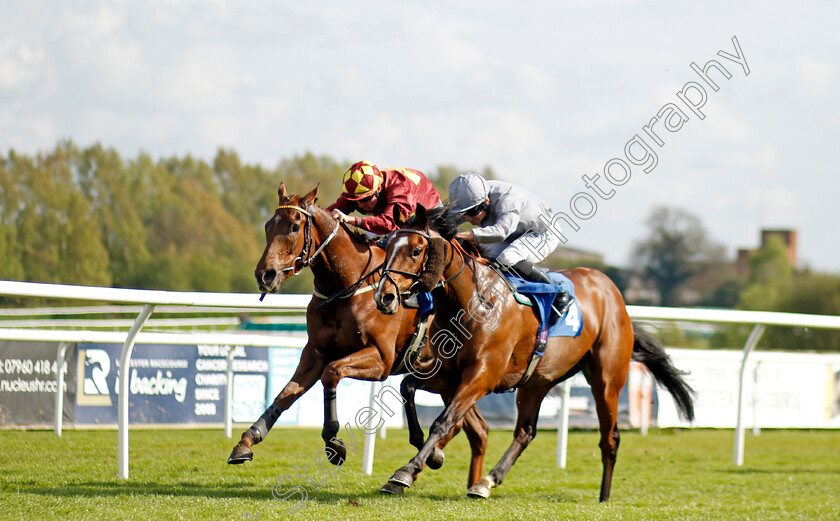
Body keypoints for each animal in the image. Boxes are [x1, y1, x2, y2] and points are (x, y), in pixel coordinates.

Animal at [230, 185, 492, 490]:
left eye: (295, 226)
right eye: (268, 226)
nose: (265, 275)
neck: (346, 285)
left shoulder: (381, 360)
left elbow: (331, 373)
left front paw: (334, 444)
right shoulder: (315, 352)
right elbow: (286, 393)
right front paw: (247, 440)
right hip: (455, 379)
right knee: (476, 429)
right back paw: (453, 468)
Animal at [376, 205, 696, 502]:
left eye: (416, 250)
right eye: (387, 246)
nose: (384, 297)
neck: (473, 302)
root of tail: (615, 295)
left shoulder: (482, 377)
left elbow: (443, 421)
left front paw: (406, 471)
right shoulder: (449, 373)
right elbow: (408, 388)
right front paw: (430, 456)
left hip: (607, 380)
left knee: (610, 437)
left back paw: (604, 496)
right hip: (535, 382)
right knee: (525, 432)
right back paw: (486, 481)